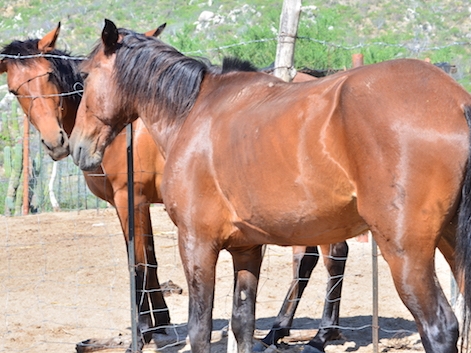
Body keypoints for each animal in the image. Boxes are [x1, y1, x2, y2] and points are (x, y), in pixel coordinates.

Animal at [0, 22, 360, 352]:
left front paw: (143, 333)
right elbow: (150, 260)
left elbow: (140, 264)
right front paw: (159, 322)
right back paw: (281, 328)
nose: (56, 141)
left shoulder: (129, 199)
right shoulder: (143, 203)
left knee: (333, 255)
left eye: (50, 76)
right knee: (309, 259)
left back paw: (321, 334)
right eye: (15, 90)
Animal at [69, 20, 471, 352]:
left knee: (439, 327)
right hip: (450, 245)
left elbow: (199, 330)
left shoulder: (197, 244)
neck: (194, 113)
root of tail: (456, 101)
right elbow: (242, 325)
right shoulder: (247, 249)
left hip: (406, 254)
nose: (76, 147)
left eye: (84, 76)